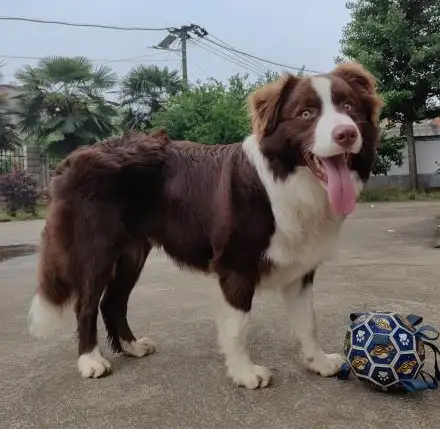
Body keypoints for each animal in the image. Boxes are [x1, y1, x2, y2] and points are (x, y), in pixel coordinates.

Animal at [29, 62, 384, 388]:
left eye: (349, 108)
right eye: (306, 113)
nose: (346, 134)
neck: (284, 179)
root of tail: (74, 156)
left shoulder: (300, 268)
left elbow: (307, 322)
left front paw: (318, 362)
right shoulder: (235, 266)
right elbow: (238, 327)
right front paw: (244, 373)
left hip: (133, 251)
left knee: (113, 301)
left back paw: (132, 346)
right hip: (96, 248)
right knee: (87, 304)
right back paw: (90, 360)